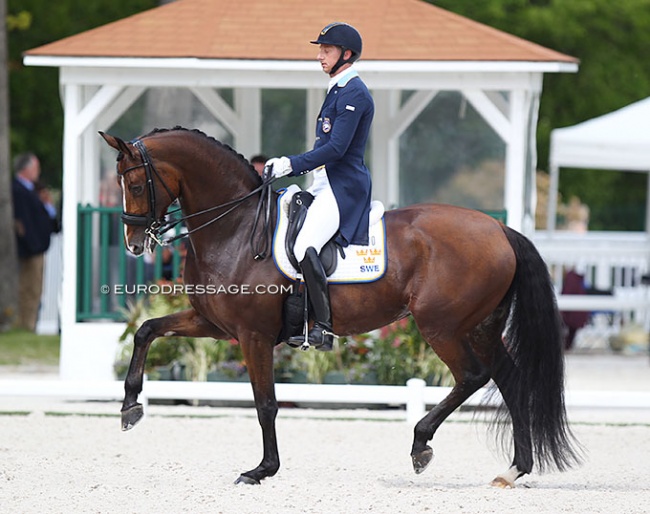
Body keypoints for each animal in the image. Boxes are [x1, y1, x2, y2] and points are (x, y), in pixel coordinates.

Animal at [102, 127, 584, 484]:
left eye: (135, 183)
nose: (133, 242)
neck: (236, 229)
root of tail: (500, 229)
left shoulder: (254, 336)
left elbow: (265, 403)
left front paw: (262, 470)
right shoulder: (213, 324)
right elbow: (147, 330)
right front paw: (129, 407)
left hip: (442, 326)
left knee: (472, 376)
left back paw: (421, 444)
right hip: (480, 326)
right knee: (509, 379)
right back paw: (515, 469)